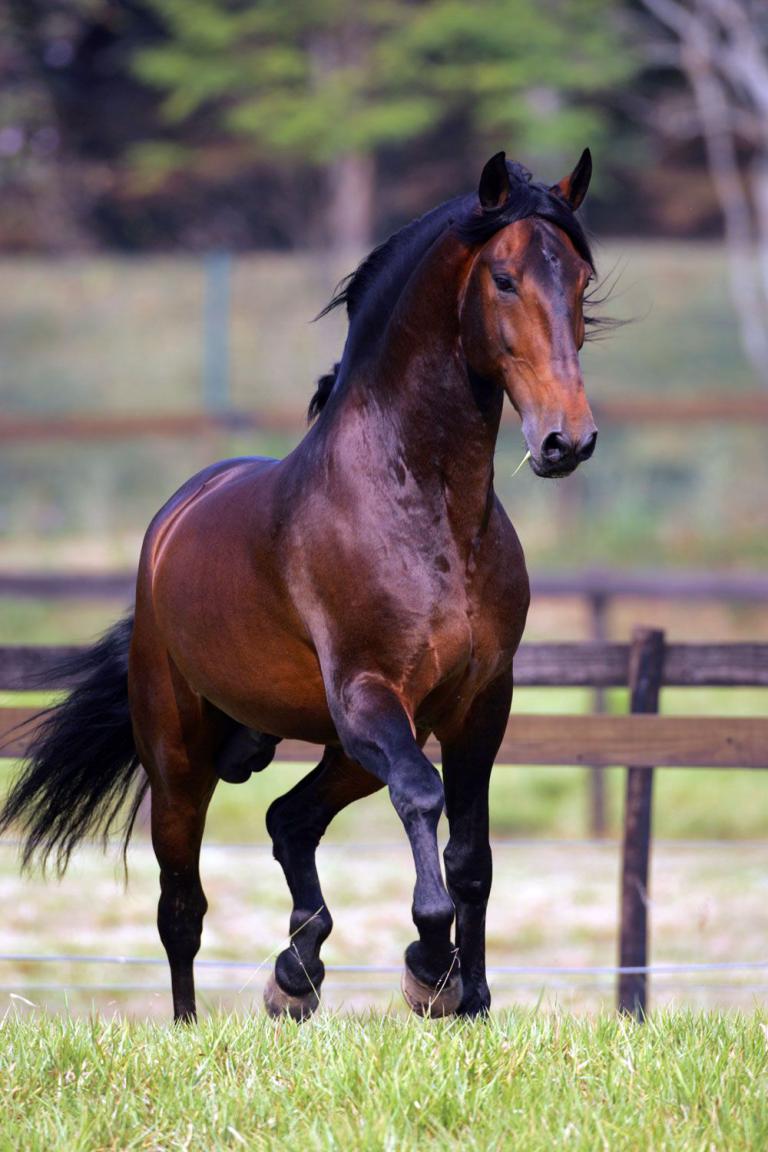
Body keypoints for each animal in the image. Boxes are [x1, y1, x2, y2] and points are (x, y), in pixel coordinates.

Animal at [0, 149, 599, 1022]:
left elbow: (472, 855)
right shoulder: (369, 694)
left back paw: (296, 974)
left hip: (347, 745)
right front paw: (428, 966)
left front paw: (472, 1001)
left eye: (583, 281)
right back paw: (194, 1025)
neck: (427, 509)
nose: (567, 440)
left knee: (289, 818)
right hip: (182, 758)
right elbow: (422, 798)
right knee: (181, 908)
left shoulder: (479, 704)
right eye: (504, 279)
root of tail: (170, 525)